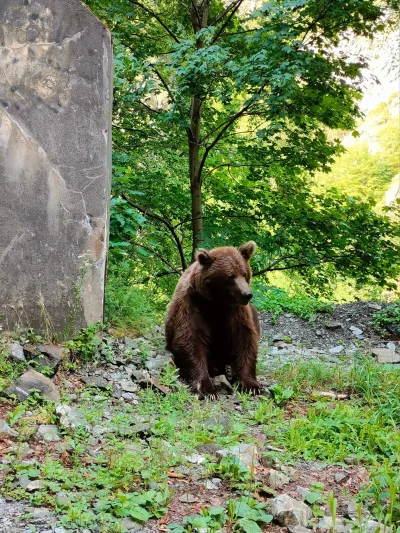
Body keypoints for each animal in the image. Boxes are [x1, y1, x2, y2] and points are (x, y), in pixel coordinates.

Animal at [165, 239, 260, 396]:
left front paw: (251, 385)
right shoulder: (192, 305)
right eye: (231, 276)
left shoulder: (235, 311)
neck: (216, 303)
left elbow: (244, 338)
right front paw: (206, 388)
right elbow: (190, 339)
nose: (247, 294)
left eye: (244, 273)